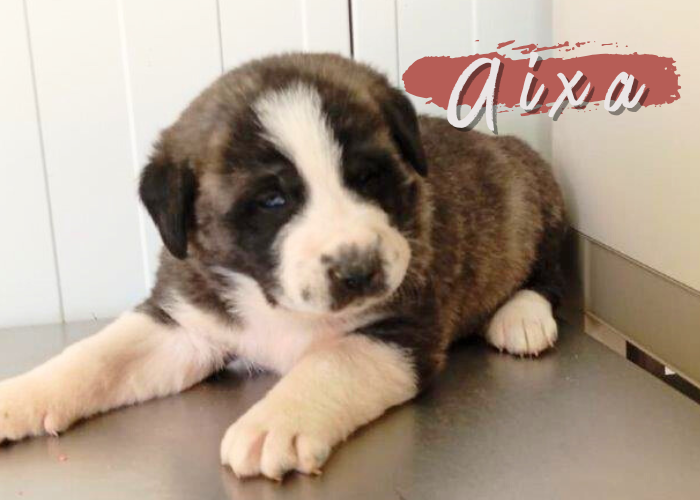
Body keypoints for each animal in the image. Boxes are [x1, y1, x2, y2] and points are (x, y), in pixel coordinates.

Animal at [0, 53, 566, 480]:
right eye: (272, 201)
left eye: (368, 176)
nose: (359, 270)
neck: (272, 301)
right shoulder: (185, 324)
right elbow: (97, 359)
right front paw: (19, 396)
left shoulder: (398, 326)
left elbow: (332, 362)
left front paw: (274, 422)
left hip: (540, 204)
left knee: (551, 277)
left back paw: (522, 318)